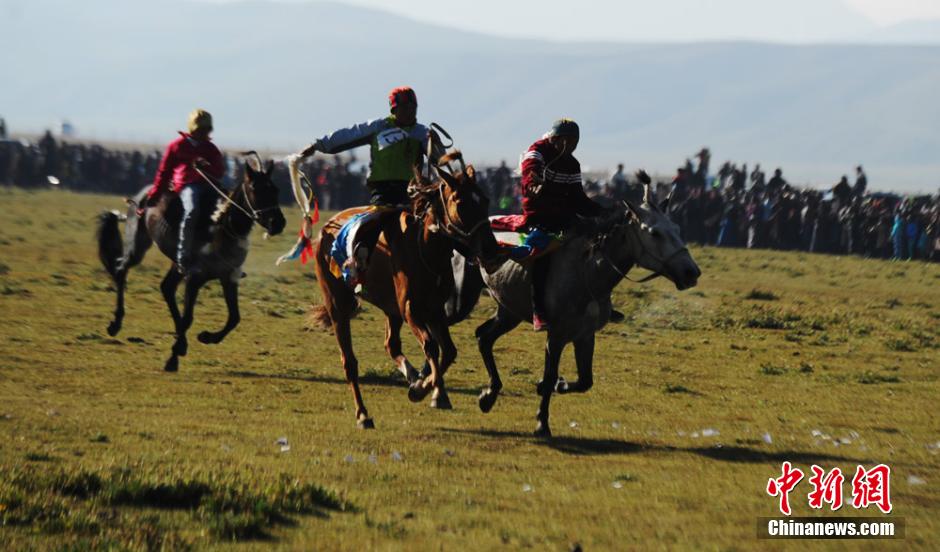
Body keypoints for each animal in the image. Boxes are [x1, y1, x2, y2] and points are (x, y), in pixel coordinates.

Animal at [96, 162, 288, 374]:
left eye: (275, 189)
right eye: (255, 188)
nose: (278, 223)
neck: (220, 228)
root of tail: (145, 194)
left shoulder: (229, 278)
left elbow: (234, 317)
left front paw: (206, 337)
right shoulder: (194, 278)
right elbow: (189, 317)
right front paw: (173, 358)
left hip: (176, 264)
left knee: (167, 287)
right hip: (138, 244)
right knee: (122, 270)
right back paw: (116, 324)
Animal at [310, 162, 504, 430]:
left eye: (485, 200)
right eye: (461, 202)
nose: (492, 249)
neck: (427, 247)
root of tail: (327, 228)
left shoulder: (434, 309)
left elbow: (449, 350)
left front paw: (422, 386)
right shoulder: (411, 308)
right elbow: (431, 346)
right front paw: (434, 393)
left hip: (390, 308)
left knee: (391, 344)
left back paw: (411, 375)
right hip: (338, 303)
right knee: (349, 361)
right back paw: (363, 414)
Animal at [466, 181, 700, 436]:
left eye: (677, 229)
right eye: (655, 233)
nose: (691, 272)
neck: (587, 274)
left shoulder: (585, 336)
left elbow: (585, 381)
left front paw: (559, 386)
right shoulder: (556, 336)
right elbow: (550, 376)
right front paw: (542, 423)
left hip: (509, 312)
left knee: (484, 337)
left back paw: (488, 395)